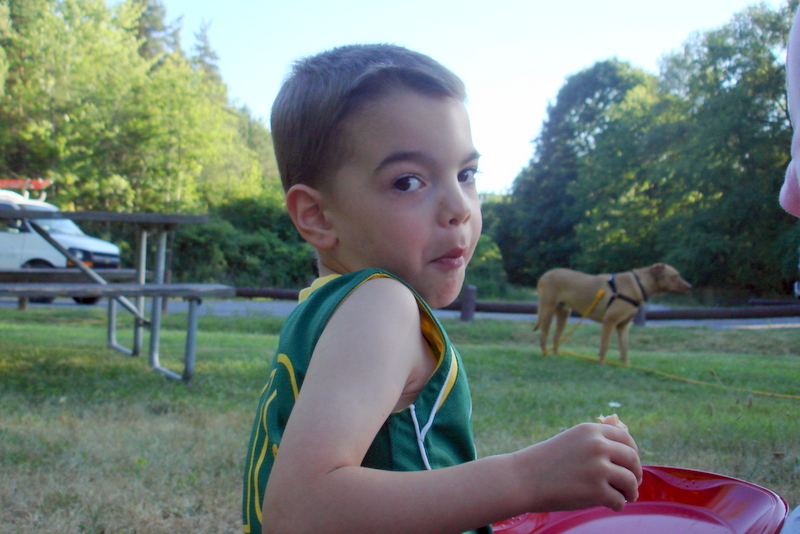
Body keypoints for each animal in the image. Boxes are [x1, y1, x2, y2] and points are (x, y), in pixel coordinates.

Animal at [534, 263, 692, 363]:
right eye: (674, 276)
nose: (690, 286)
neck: (639, 285)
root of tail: (544, 275)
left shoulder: (623, 326)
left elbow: (624, 349)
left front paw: (626, 366)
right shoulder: (610, 322)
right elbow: (604, 347)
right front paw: (601, 364)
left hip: (564, 313)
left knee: (556, 337)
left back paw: (557, 356)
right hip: (547, 310)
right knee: (543, 336)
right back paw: (545, 355)